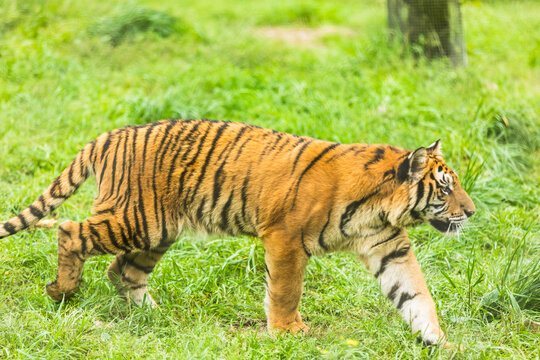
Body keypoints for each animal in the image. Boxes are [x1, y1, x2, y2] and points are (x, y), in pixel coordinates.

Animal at [0, 119, 472, 348]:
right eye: (445, 187)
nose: (470, 211)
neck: (382, 210)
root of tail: (109, 135)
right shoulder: (285, 238)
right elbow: (285, 290)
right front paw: (288, 332)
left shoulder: (389, 247)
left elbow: (416, 294)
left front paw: (438, 341)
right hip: (135, 219)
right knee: (69, 230)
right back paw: (62, 291)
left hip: (157, 231)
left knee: (123, 271)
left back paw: (153, 316)